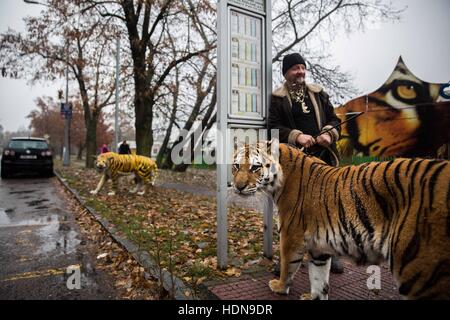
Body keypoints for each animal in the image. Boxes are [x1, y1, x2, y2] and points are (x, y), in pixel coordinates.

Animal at [232, 141, 450, 300]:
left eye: (255, 167)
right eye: (236, 166)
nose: (238, 187)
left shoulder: (291, 236)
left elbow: (288, 266)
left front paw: (279, 286)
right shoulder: (318, 245)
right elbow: (319, 276)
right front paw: (314, 297)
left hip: (418, 269)